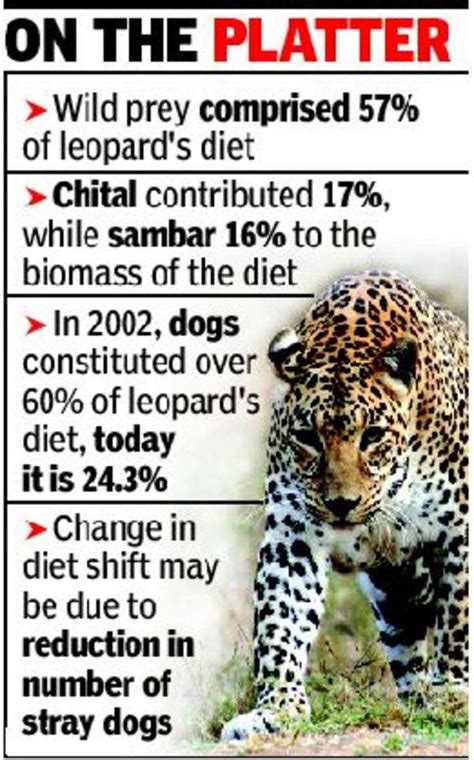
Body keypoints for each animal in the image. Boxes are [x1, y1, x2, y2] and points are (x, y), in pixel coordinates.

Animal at [222, 270, 468, 741]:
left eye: (372, 436)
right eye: (307, 437)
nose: (341, 504)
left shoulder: (460, 533)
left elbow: (458, 619)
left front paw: (455, 697)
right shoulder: (293, 536)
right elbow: (280, 621)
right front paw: (276, 710)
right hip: (396, 589)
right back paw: (417, 704)